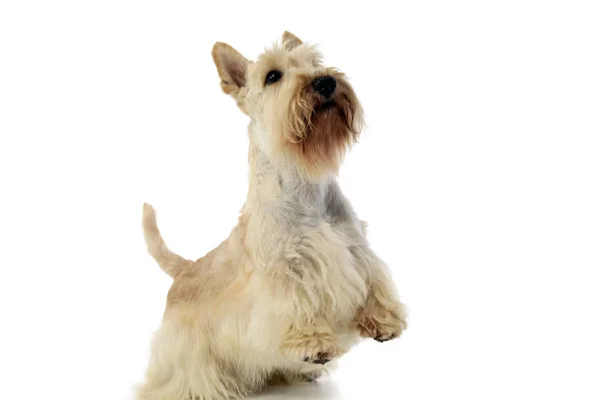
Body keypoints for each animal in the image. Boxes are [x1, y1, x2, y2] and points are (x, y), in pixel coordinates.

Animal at [137, 32, 408, 400]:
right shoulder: (285, 270)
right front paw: (313, 343)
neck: (306, 184)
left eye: (316, 63)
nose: (325, 82)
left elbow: (374, 283)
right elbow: (296, 305)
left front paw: (383, 320)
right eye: (273, 76)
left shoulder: (356, 251)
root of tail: (186, 269)